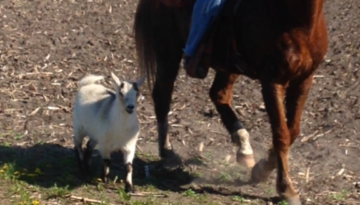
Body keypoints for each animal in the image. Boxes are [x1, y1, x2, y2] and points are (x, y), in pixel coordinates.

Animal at [134, 0, 328, 203]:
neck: (297, 22)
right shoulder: (272, 81)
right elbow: (281, 134)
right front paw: (286, 188)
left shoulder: (304, 80)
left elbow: (293, 132)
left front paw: (261, 170)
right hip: (168, 52)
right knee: (162, 95)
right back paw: (168, 152)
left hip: (228, 66)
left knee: (218, 94)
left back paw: (243, 146)